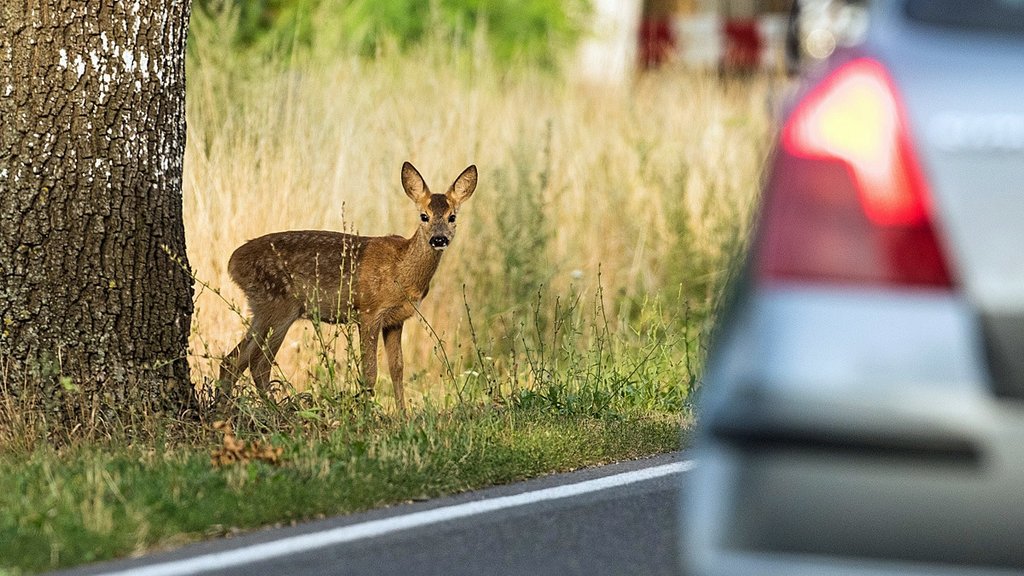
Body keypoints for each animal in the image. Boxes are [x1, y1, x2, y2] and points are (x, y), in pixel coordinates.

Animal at [218, 162, 477, 412]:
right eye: (424, 216)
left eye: (452, 217)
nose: (439, 239)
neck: (401, 271)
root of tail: (233, 262)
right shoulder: (369, 311)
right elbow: (370, 373)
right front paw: (368, 414)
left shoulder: (395, 320)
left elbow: (397, 369)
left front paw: (403, 416)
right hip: (280, 306)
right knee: (259, 363)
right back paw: (275, 409)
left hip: (261, 309)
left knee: (233, 360)